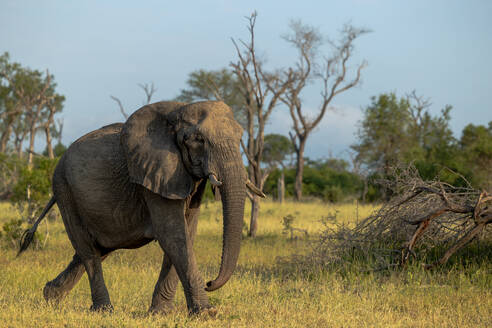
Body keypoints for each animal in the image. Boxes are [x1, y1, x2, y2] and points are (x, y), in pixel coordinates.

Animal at [19, 100, 266, 316]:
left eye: (240, 137)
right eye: (199, 139)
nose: (210, 282)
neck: (177, 112)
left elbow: (187, 232)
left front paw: (161, 313)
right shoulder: (155, 174)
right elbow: (173, 234)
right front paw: (207, 314)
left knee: (98, 248)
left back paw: (51, 296)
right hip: (64, 189)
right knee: (88, 249)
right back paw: (103, 310)